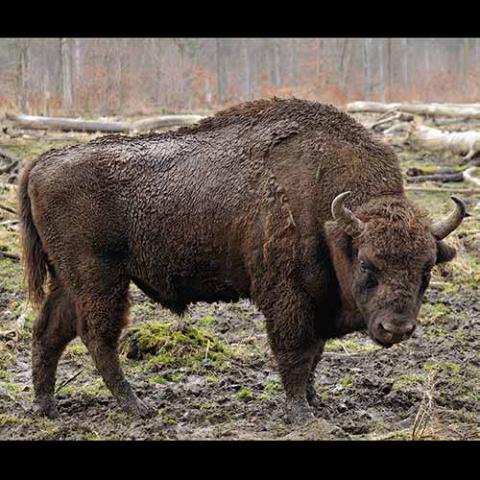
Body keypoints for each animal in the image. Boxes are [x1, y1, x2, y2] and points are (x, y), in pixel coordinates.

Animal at [18, 96, 464, 420]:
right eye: (368, 264)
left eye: (427, 268)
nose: (397, 327)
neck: (331, 220)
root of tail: (42, 162)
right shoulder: (287, 297)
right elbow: (296, 351)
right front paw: (301, 413)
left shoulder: (317, 300)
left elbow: (314, 354)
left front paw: (315, 401)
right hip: (100, 278)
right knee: (97, 337)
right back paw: (137, 407)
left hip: (69, 280)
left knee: (49, 332)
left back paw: (46, 406)